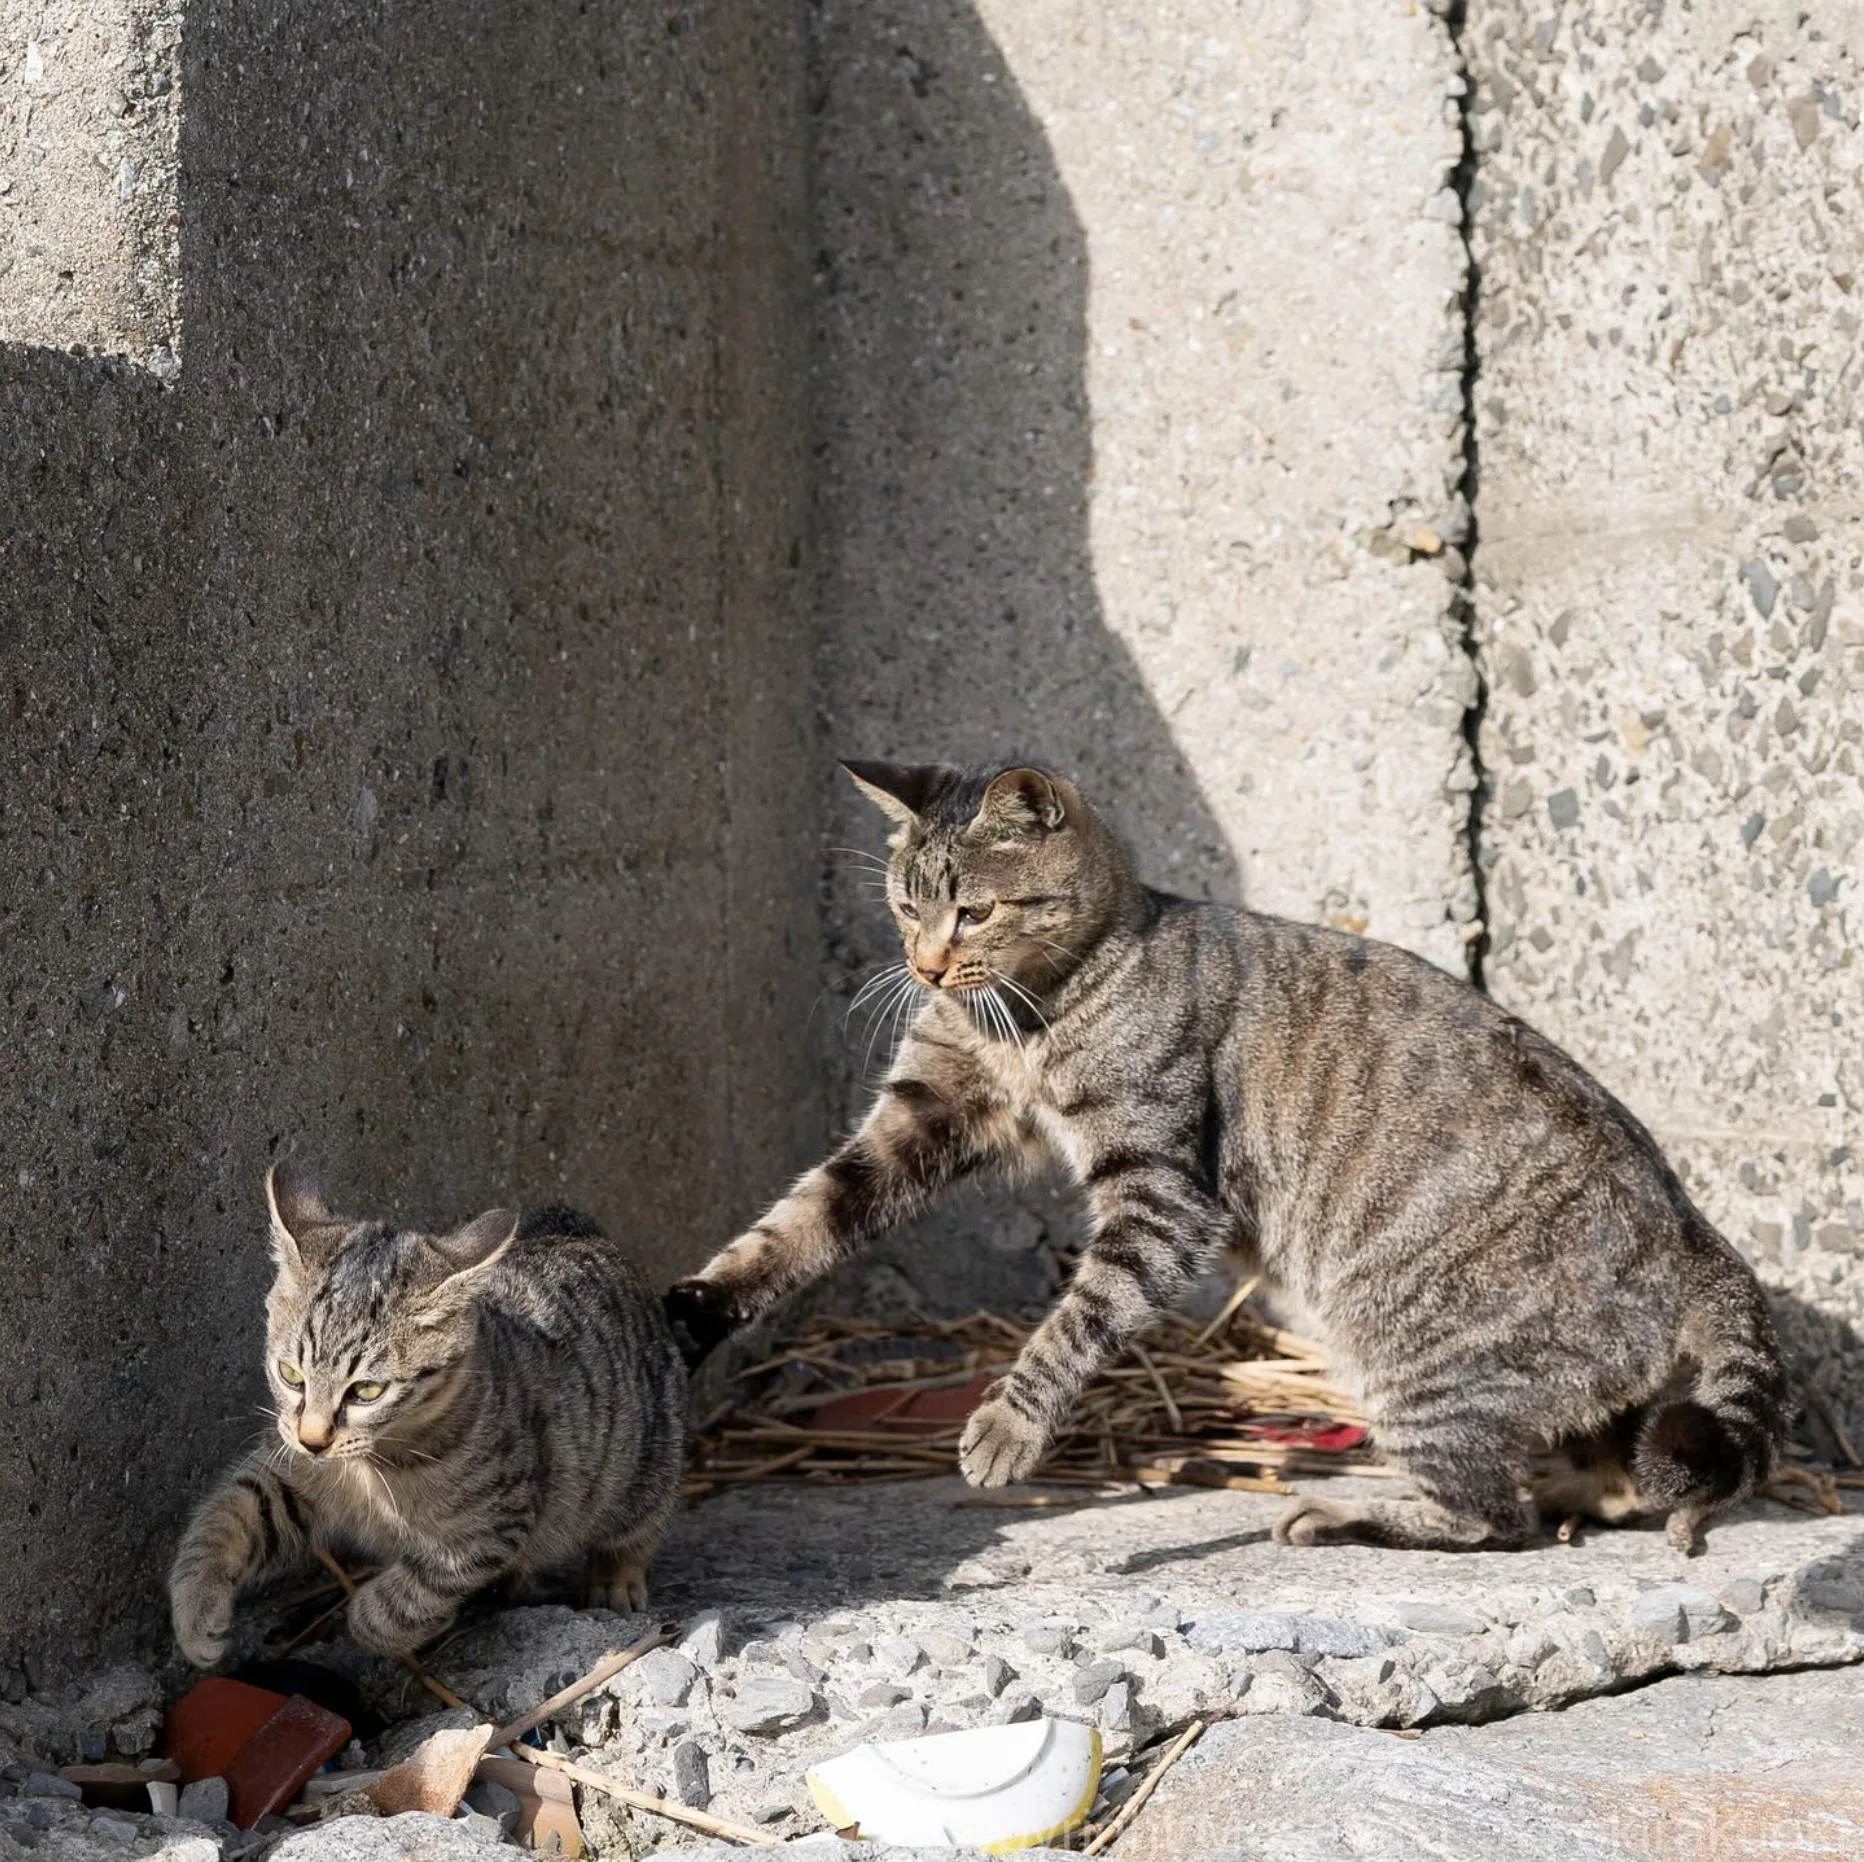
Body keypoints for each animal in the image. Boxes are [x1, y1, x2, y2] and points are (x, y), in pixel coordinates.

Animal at [169, 1170, 685, 1670]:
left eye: (367, 1391)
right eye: (291, 1374)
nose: (313, 1439)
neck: (369, 1471)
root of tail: (589, 1239)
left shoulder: (489, 1526)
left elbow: (403, 1603)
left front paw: (386, 1622)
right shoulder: (286, 1470)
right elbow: (226, 1516)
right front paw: (196, 1614)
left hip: (647, 1458)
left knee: (641, 1525)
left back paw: (614, 1582)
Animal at [674, 760, 1789, 1558]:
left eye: (974, 910)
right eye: (906, 907)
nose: (925, 964)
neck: (1028, 1022)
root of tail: (1698, 1235)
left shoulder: (1162, 1195)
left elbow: (1077, 1318)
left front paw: (1008, 1428)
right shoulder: (924, 1114)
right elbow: (799, 1220)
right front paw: (695, 1304)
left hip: (1407, 1356)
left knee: (1488, 1516)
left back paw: (1345, 1516)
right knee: (1616, 1472)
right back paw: (1567, 1490)